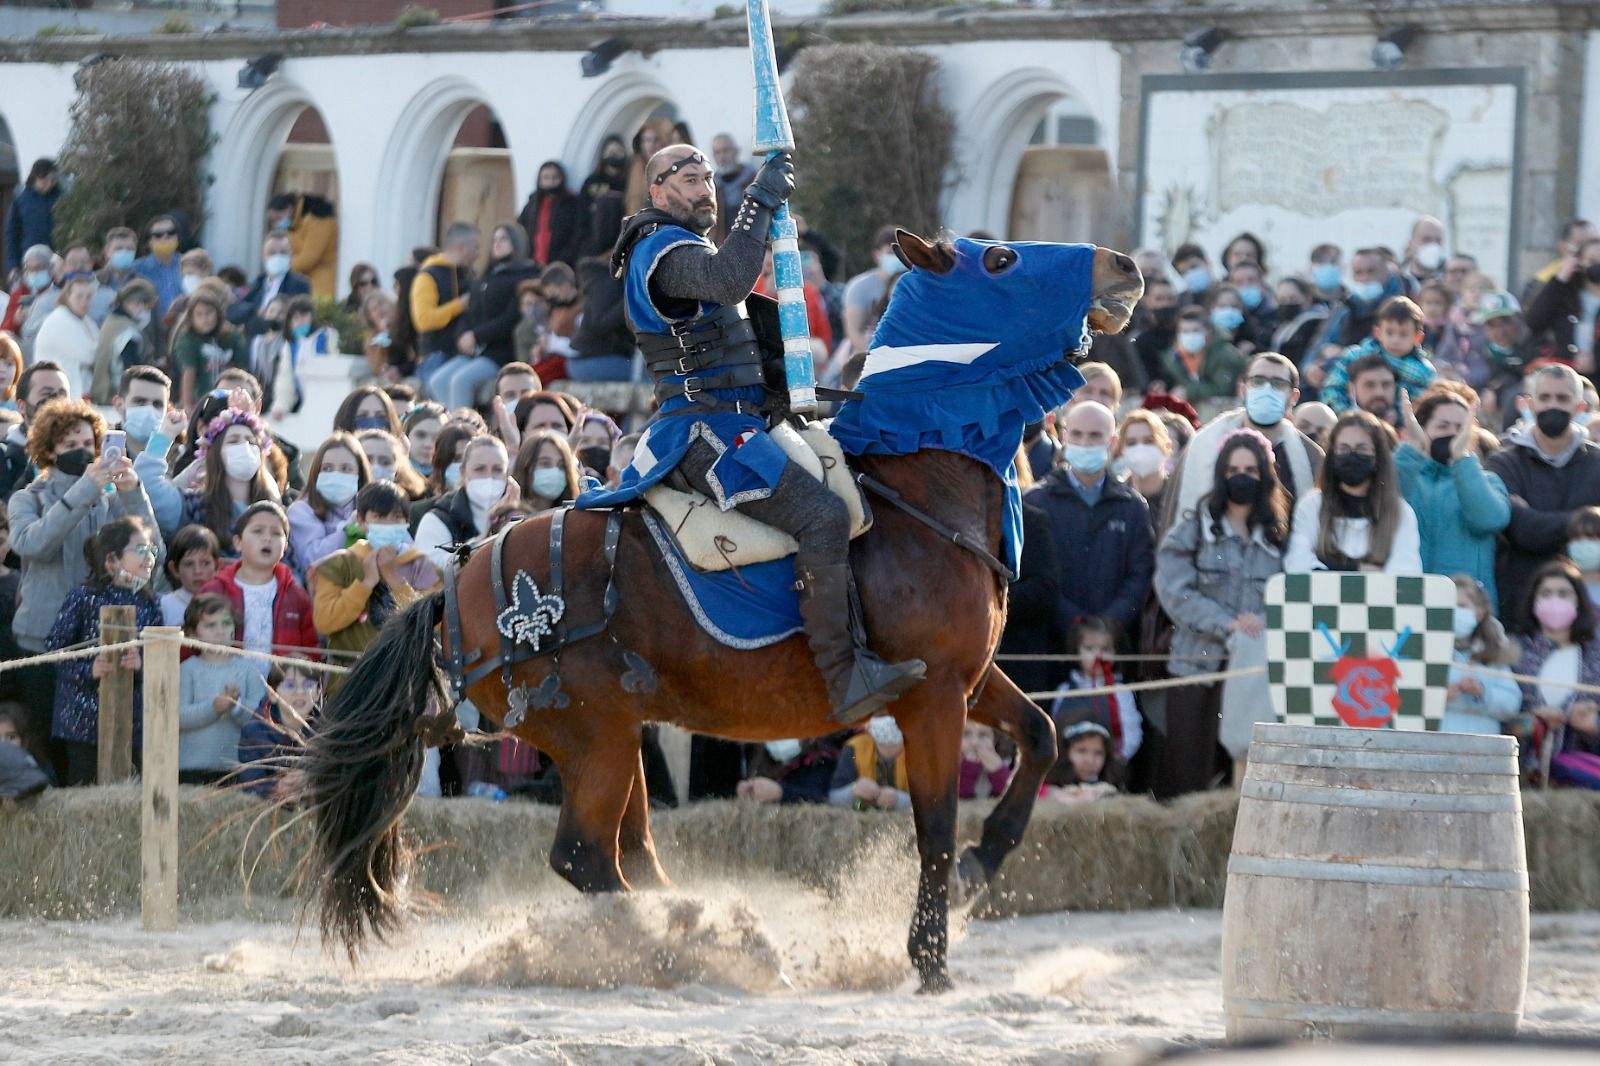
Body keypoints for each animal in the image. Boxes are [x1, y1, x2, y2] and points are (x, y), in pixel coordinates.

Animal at [300, 230, 1145, 985]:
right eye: (1000, 258)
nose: (1126, 266)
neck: (919, 489)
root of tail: (461, 584)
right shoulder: (930, 696)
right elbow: (935, 827)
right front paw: (929, 956)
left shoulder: (967, 679)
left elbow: (1039, 738)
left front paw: (981, 865)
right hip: (592, 738)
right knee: (584, 856)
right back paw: (706, 944)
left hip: (615, 733)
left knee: (629, 853)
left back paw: (698, 931)